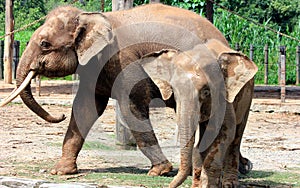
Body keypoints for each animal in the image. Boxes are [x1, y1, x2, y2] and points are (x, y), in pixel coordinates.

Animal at [141, 39, 258, 187]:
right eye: (174, 92)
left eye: (206, 92)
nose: (168, 185)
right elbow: (201, 143)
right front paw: (198, 185)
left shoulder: (224, 96)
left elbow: (225, 132)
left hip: (248, 95)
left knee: (236, 136)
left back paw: (229, 184)